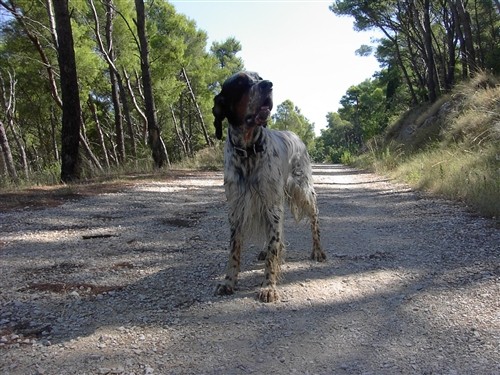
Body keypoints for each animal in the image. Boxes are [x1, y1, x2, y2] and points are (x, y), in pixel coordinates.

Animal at [213, 72, 326, 302]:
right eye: (240, 82)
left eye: (259, 77)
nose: (268, 84)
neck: (248, 150)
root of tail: (294, 134)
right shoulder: (237, 208)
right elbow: (234, 250)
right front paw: (229, 282)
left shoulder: (272, 204)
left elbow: (274, 248)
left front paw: (268, 286)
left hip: (303, 190)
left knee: (314, 218)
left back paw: (318, 251)